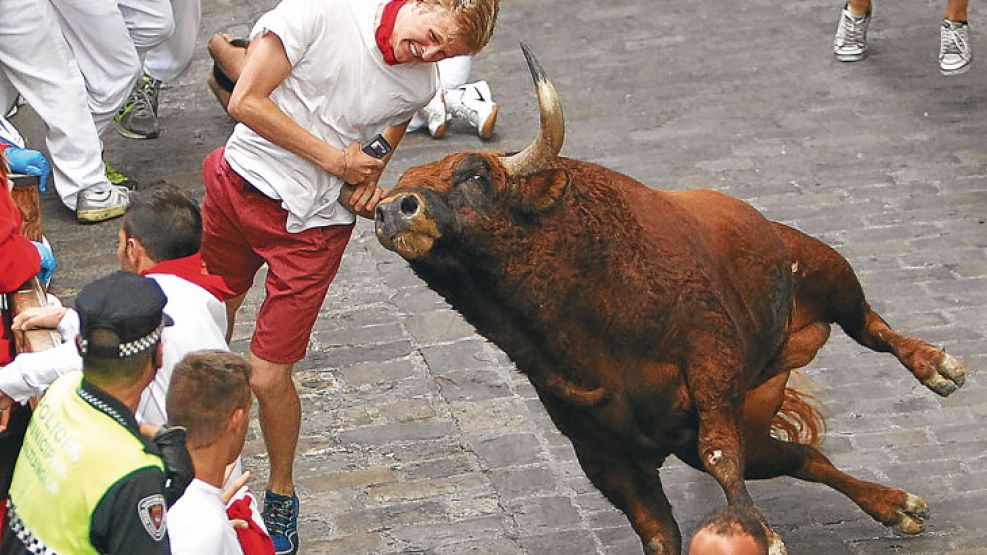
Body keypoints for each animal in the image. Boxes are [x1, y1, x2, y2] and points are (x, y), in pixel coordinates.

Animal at [374, 45, 968, 552]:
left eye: (474, 175)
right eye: (395, 187)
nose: (394, 209)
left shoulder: (710, 366)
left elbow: (720, 452)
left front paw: (758, 533)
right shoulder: (604, 455)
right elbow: (658, 529)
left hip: (824, 269)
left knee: (870, 327)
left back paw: (937, 369)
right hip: (753, 421)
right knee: (805, 457)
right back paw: (898, 506)